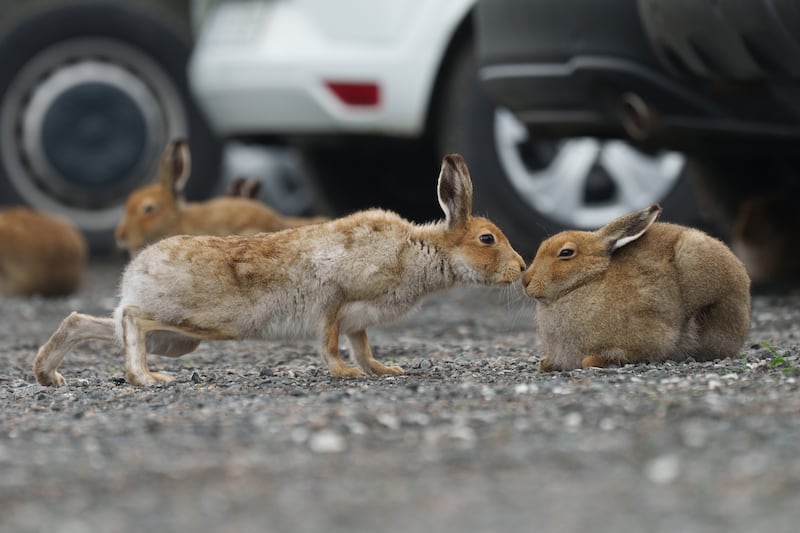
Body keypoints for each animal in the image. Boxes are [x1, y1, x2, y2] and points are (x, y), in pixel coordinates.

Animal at [34, 153, 526, 387]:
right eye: (487, 239)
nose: (521, 269)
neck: (420, 249)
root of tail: (135, 271)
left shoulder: (359, 321)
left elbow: (363, 347)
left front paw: (384, 371)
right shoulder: (334, 300)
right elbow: (330, 343)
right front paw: (344, 374)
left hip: (175, 339)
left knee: (88, 322)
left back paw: (48, 374)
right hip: (192, 321)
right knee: (133, 321)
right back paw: (147, 378)